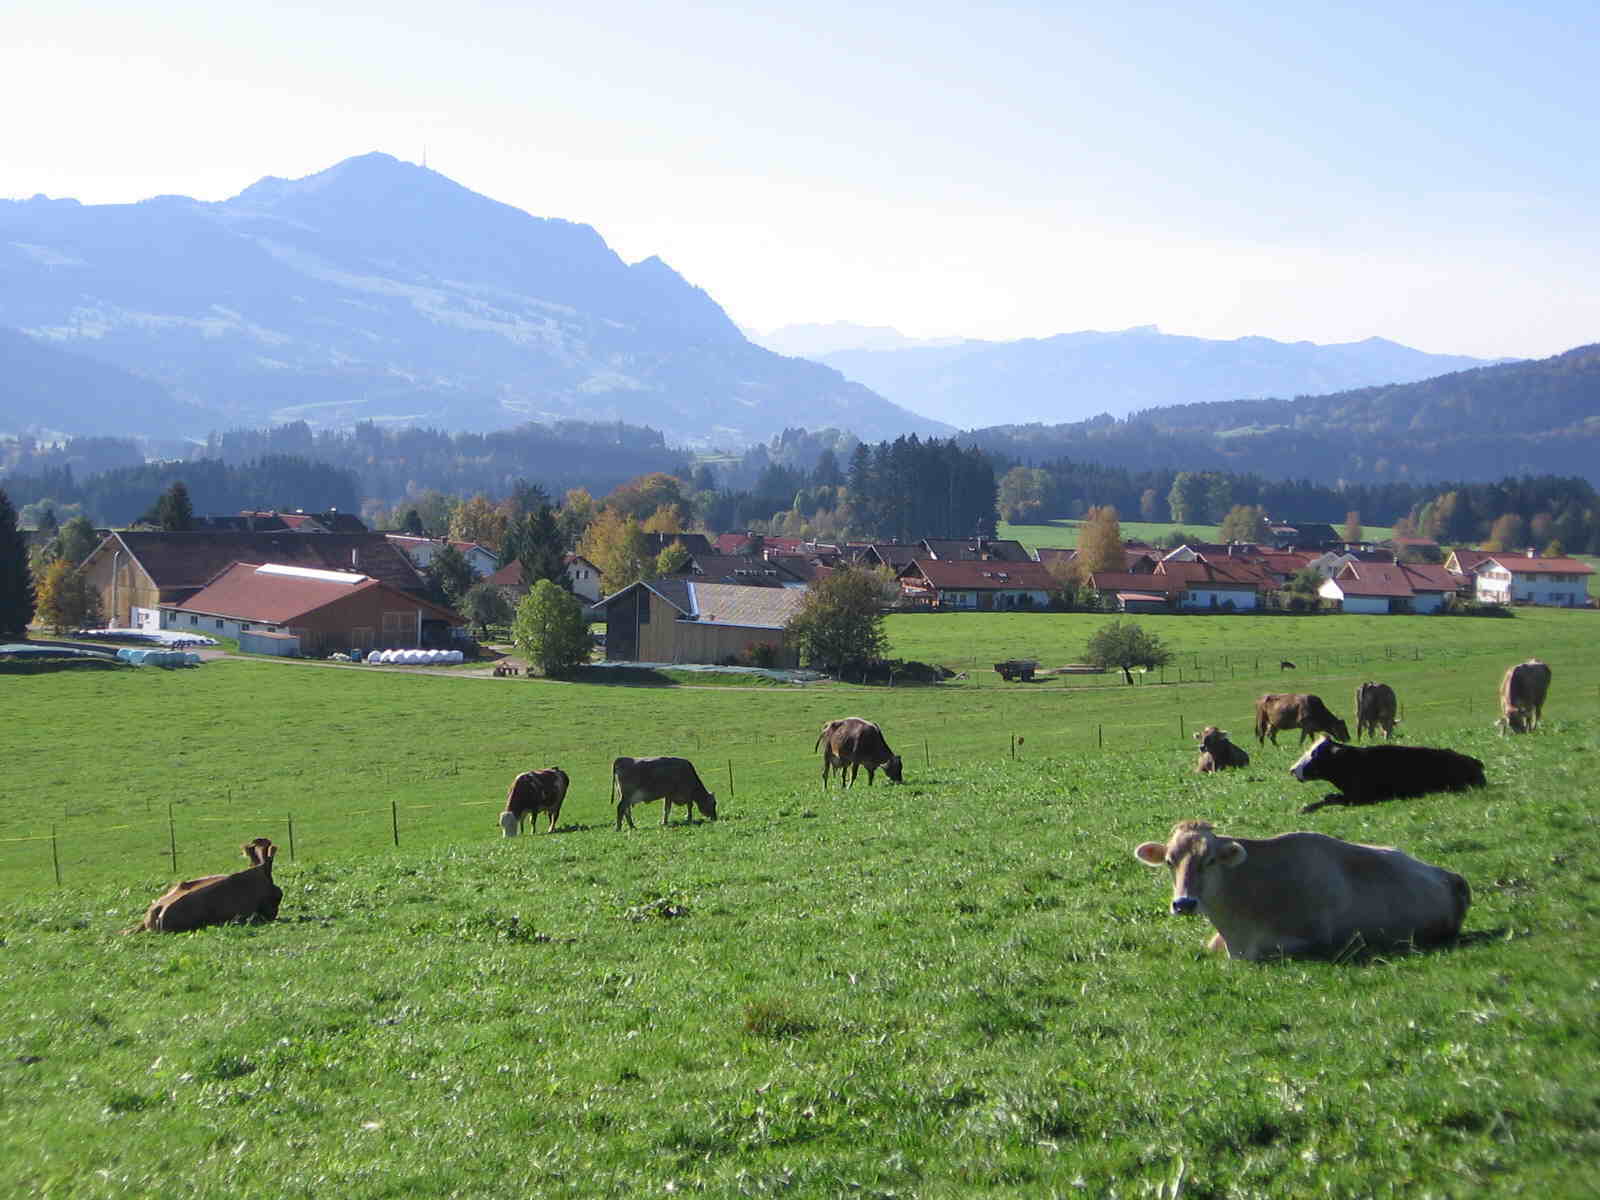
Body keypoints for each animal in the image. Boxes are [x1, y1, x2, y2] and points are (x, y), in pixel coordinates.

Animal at [1286, 732, 1484, 819]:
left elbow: (1330, 799)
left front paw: (1305, 809)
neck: (1352, 763)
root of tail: (1474, 761)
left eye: (1315, 755)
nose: (1292, 769)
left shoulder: (1361, 797)